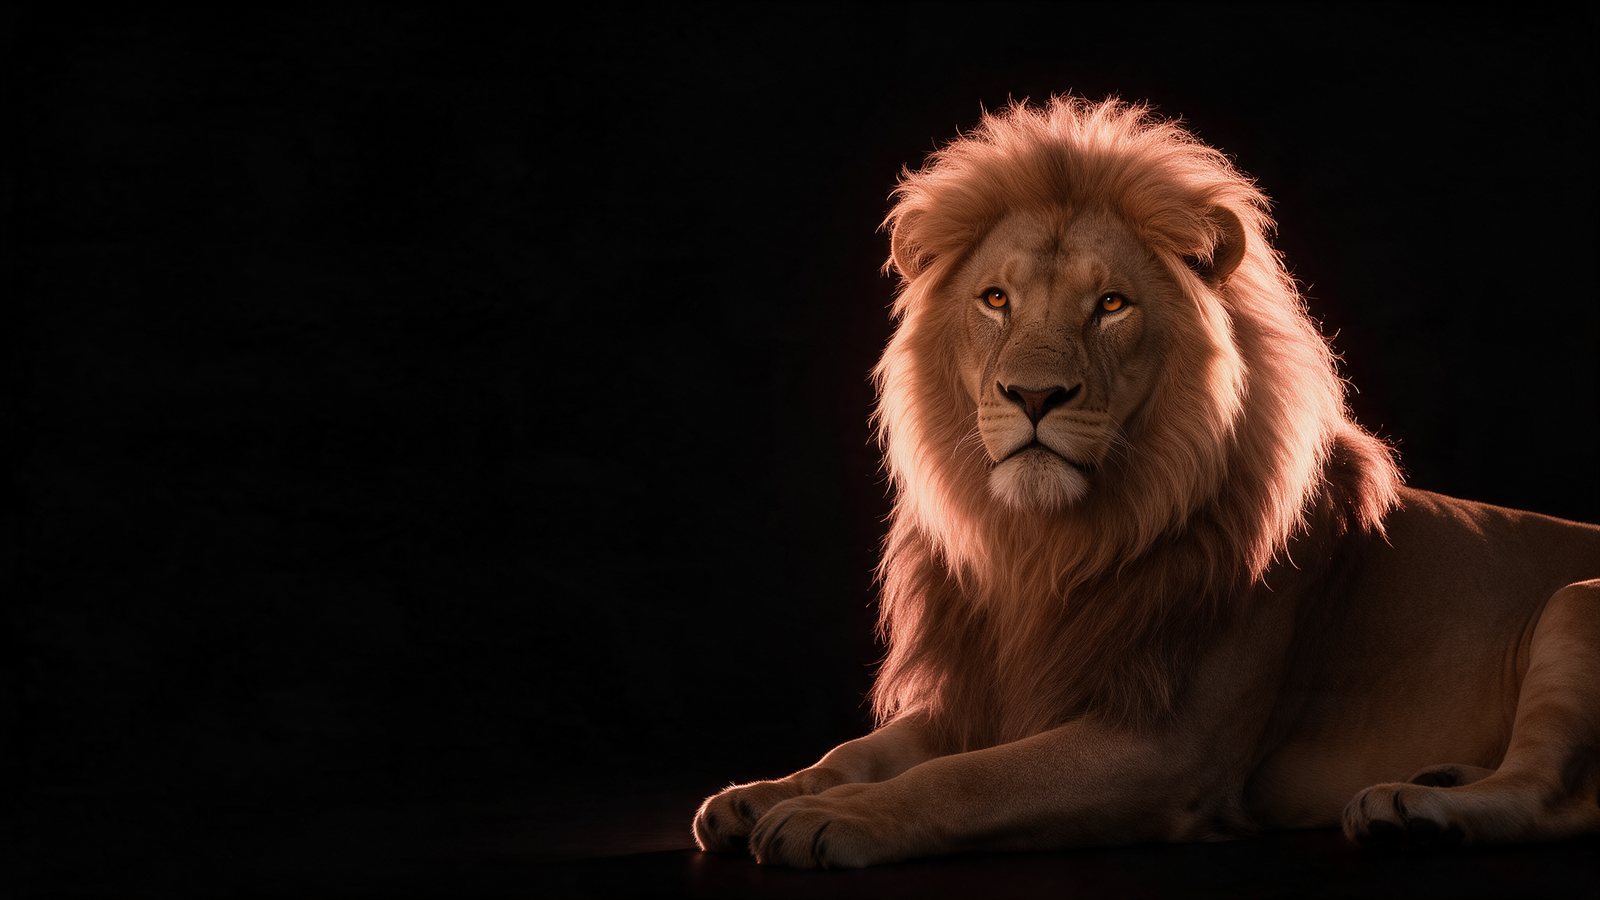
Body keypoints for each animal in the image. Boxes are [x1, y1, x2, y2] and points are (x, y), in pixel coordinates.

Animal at [691, 96, 1600, 867]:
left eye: (1111, 305)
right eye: (996, 299)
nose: (1033, 396)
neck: (1051, 547)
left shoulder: (1167, 751)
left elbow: (970, 777)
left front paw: (829, 818)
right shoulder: (991, 687)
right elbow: (861, 750)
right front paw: (761, 793)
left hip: (1572, 606)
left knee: (1547, 800)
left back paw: (1414, 809)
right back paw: (1440, 778)